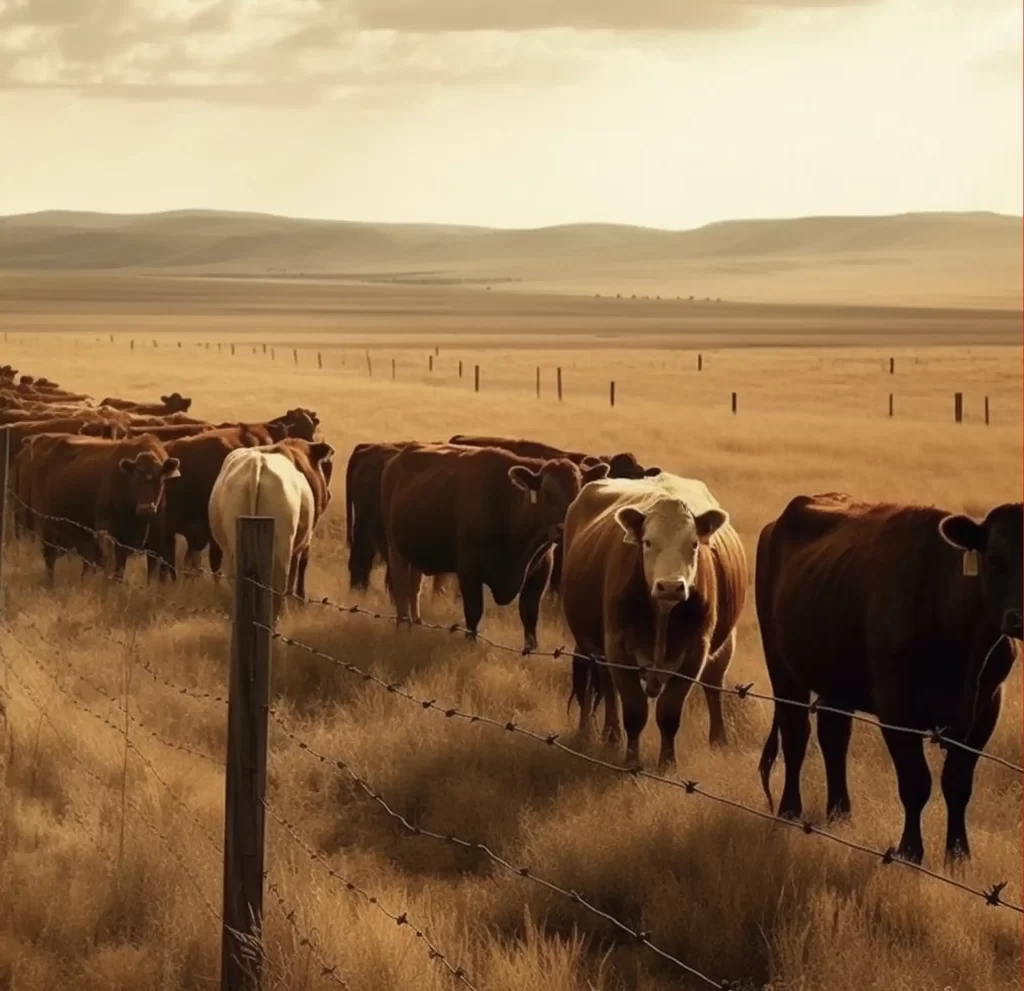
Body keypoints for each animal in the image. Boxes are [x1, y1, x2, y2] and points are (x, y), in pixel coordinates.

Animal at [20, 433, 181, 582]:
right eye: (135, 479)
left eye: (160, 480)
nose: (145, 508)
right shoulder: (110, 535)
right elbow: (113, 568)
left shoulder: (154, 542)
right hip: (47, 528)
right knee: (50, 559)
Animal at [207, 438, 334, 618]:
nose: (328, 494)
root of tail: (257, 463)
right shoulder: (304, 541)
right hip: (283, 546)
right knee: (279, 586)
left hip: (233, 545)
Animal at [381, 442, 610, 649]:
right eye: (547, 494)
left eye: (580, 493)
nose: (565, 527)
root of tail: (398, 457)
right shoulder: (469, 572)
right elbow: (473, 613)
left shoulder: (541, 571)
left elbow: (529, 617)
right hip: (395, 549)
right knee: (401, 588)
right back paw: (403, 627)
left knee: (414, 588)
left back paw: (416, 624)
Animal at [560, 473, 746, 770]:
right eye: (647, 542)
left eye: (694, 544)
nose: (670, 586)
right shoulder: (617, 646)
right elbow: (634, 709)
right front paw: (630, 761)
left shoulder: (696, 651)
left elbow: (669, 712)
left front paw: (667, 764)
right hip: (596, 648)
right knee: (606, 684)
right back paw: (610, 735)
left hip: (725, 644)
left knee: (713, 685)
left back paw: (719, 740)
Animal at [755, 493, 1022, 866]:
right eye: (995, 559)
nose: (1019, 618)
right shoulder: (895, 708)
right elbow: (915, 782)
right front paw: (910, 851)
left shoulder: (987, 707)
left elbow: (958, 783)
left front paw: (958, 855)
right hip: (781, 666)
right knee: (796, 733)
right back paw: (789, 811)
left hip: (836, 678)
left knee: (834, 737)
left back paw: (840, 813)